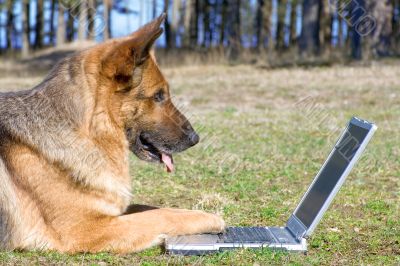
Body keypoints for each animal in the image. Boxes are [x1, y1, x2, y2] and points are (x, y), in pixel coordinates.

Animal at [0, 14, 225, 254]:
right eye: (158, 96)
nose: (195, 139)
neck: (89, 130)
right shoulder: (86, 228)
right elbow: (160, 216)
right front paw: (209, 217)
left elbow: (152, 208)